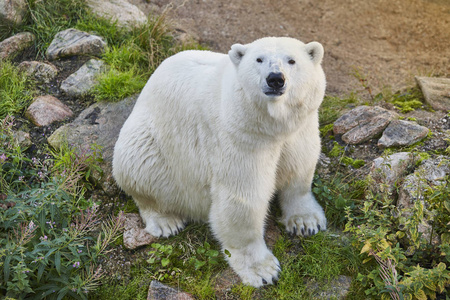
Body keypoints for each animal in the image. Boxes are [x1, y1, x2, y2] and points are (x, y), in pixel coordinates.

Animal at [113, 36, 326, 288]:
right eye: (259, 59)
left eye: (292, 60)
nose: (275, 78)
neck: (271, 126)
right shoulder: (240, 137)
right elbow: (242, 197)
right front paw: (263, 270)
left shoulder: (300, 129)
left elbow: (299, 170)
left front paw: (306, 222)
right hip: (150, 144)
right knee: (140, 169)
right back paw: (166, 221)